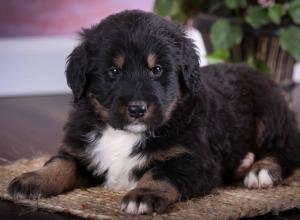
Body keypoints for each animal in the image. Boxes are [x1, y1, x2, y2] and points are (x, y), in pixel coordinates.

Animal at [7, 10, 300, 215]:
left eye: (156, 70)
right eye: (114, 72)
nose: (137, 109)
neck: (123, 134)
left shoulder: (193, 158)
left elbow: (160, 172)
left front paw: (143, 195)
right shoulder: (82, 149)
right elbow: (60, 163)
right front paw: (32, 179)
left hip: (269, 114)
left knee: (285, 149)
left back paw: (260, 170)